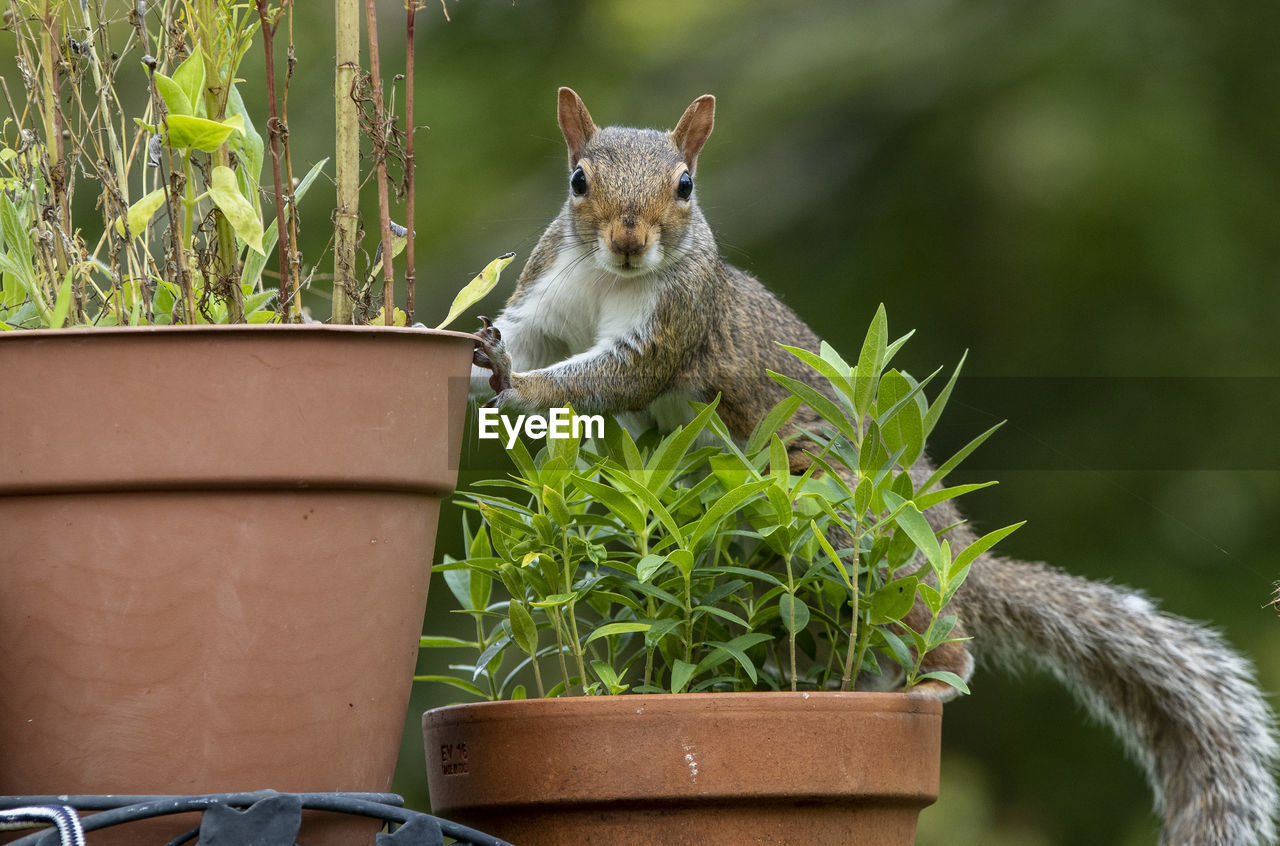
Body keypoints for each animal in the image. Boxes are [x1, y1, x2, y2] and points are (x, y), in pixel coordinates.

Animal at [471, 88, 1280, 839]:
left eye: (685, 185)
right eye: (578, 180)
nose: (630, 241)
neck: (607, 279)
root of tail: (952, 541)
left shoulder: (673, 325)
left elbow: (611, 377)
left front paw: (525, 387)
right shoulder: (546, 295)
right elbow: (521, 337)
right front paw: (472, 361)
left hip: (842, 513)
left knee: (934, 636)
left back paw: (931, 685)